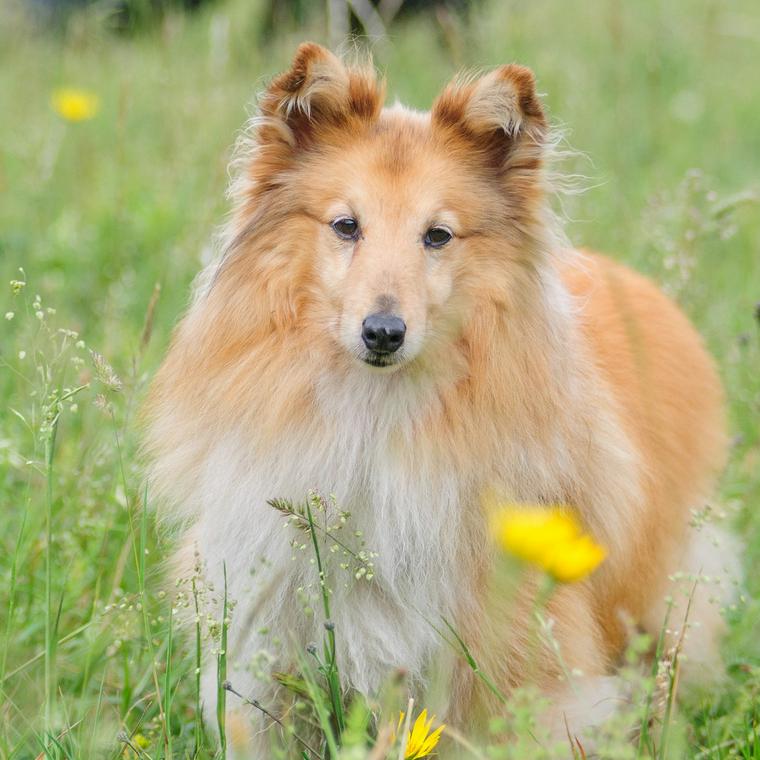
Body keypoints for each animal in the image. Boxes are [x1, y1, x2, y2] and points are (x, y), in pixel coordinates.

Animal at [145, 43, 740, 756]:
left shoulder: (505, 665)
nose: (383, 332)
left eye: (437, 235)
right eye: (346, 225)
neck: (375, 419)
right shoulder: (267, 647)